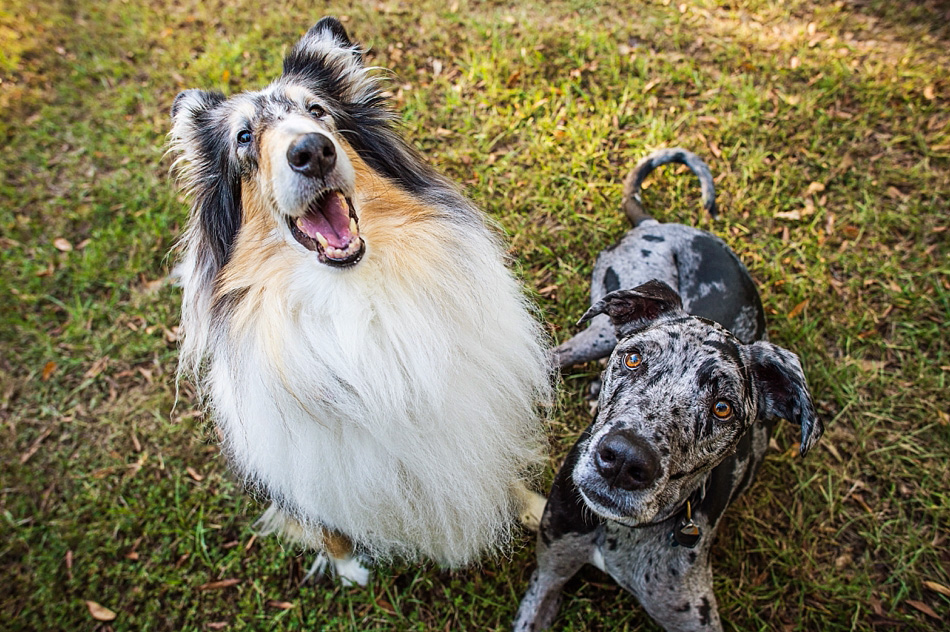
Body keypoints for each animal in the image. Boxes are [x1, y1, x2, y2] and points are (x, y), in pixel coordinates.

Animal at [170, 18, 556, 584]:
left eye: (317, 111)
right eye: (243, 137)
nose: (312, 151)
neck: (355, 299)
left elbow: (492, 458)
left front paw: (532, 506)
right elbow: (327, 524)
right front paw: (349, 567)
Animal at [516, 149, 820, 632]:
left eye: (722, 408)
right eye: (635, 358)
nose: (623, 461)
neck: (618, 532)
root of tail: (657, 223)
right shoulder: (548, 574)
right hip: (602, 329)